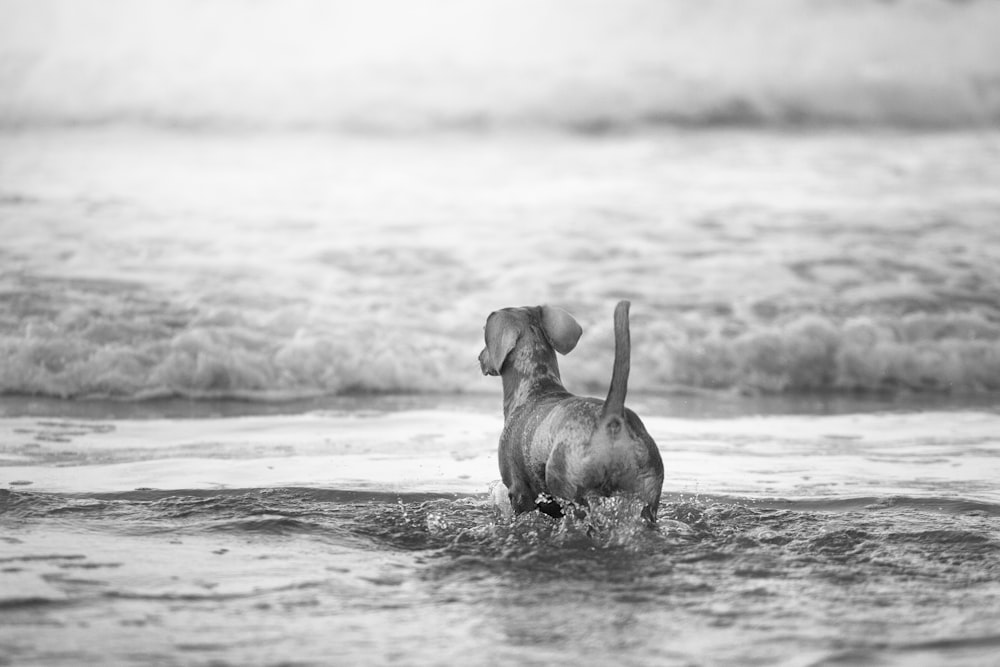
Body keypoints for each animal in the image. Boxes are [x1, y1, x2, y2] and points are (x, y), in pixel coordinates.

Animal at [478, 300, 664, 524]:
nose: (479, 358)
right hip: (647, 497)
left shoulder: (519, 491)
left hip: (573, 495)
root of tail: (610, 417)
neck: (536, 385)